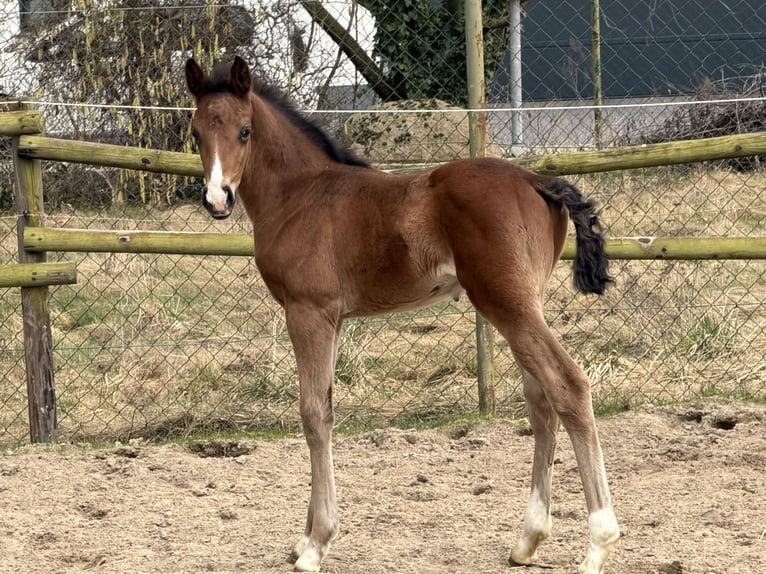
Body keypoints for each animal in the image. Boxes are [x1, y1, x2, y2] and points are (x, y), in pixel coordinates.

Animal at [184, 56, 620, 574]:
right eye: (195, 132)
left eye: (245, 130)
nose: (217, 199)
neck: (301, 194)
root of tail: (537, 180)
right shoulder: (332, 319)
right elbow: (324, 409)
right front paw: (306, 536)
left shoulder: (309, 311)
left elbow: (313, 415)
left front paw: (315, 544)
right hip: (522, 305)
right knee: (542, 400)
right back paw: (528, 539)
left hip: (507, 304)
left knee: (569, 385)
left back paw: (598, 544)